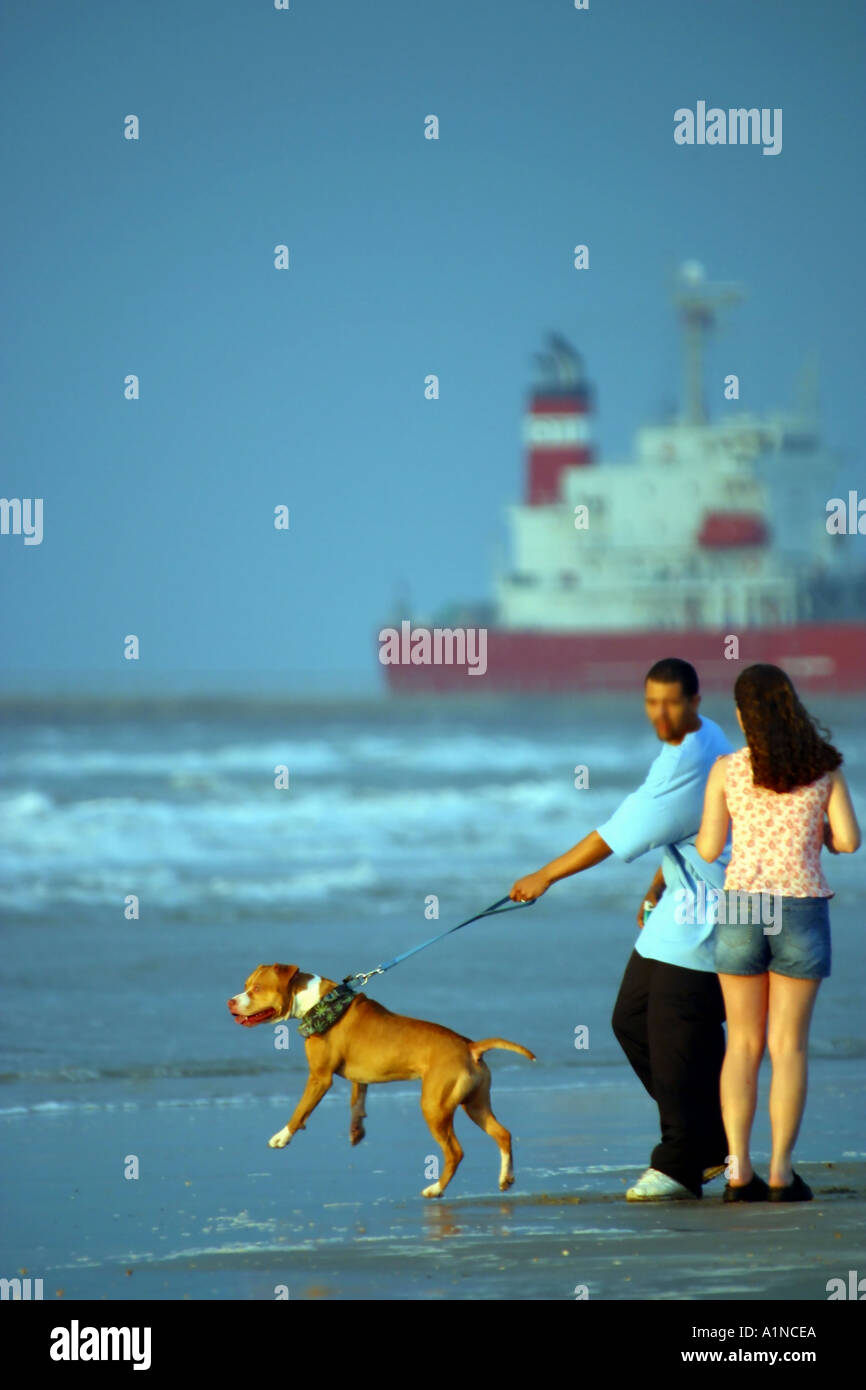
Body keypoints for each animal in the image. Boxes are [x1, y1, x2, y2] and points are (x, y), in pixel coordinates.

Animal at [226, 967, 536, 1195]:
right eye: (246, 985)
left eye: (257, 989)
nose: (231, 1001)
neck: (319, 1002)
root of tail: (471, 1046)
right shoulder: (358, 1077)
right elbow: (357, 1099)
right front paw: (356, 1129)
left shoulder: (319, 1078)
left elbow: (301, 1109)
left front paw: (282, 1136)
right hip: (475, 1105)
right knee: (503, 1134)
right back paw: (505, 1178)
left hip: (435, 1107)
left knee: (455, 1153)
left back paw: (436, 1189)